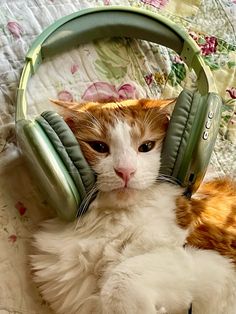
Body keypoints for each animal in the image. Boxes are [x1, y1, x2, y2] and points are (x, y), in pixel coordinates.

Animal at [30, 98, 236, 314]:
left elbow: (121, 281)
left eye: (146, 146)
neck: (113, 222)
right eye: (99, 146)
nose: (125, 171)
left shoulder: (204, 259)